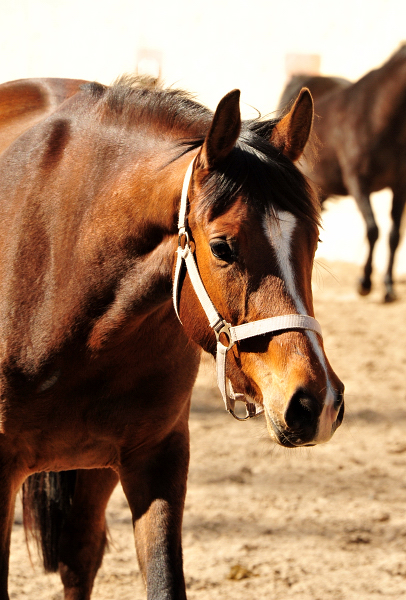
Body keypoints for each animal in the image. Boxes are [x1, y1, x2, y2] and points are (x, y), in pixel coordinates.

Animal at [280, 44, 406, 302]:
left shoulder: (399, 186)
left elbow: (394, 236)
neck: (378, 115)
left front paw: (388, 287)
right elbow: (373, 230)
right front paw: (365, 283)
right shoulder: (358, 182)